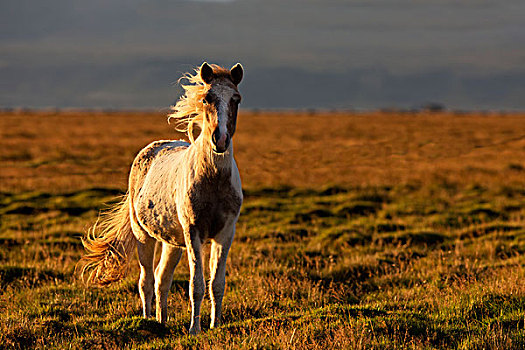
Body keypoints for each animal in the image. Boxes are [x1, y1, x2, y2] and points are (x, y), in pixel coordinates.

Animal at [78, 63, 246, 334]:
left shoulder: (225, 233)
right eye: (207, 98)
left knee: (161, 278)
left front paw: (216, 325)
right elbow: (196, 284)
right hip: (144, 236)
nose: (219, 140)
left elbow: (217, 284)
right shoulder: (193, 231)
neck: (214, 181)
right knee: (146, 279)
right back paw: (148, 321)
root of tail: (151, 148)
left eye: (236, 99)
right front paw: (194, 329)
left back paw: (161, 321)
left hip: (172, 242)